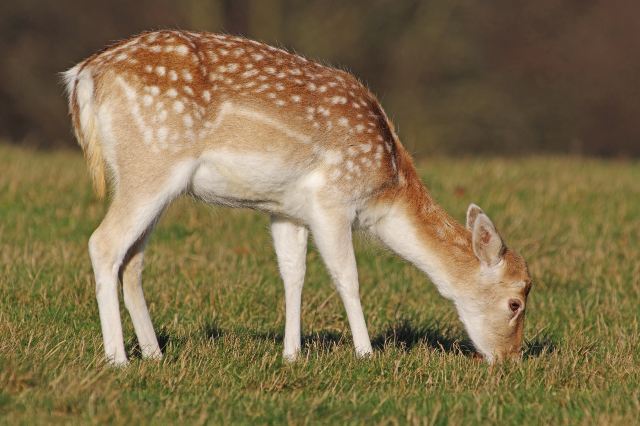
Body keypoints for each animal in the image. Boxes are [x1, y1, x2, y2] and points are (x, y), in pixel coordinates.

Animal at [63, 30, 532, 366]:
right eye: (515, 302)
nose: (509, 359)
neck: (385, 190)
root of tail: (83, 76)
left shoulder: (285, 210)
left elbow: (293, 274)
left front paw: (291, 354)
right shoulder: (332, 200)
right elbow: (347, 276)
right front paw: (366, 354)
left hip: (142, 178)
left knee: (133, 258)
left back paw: (155, 354)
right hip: (151, 164)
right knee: (104, 243)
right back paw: (118, 359)